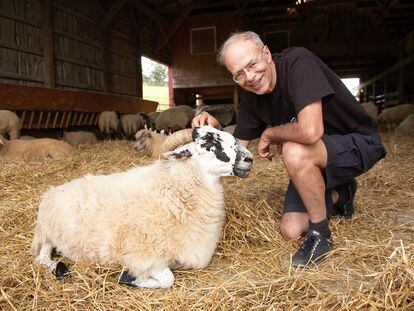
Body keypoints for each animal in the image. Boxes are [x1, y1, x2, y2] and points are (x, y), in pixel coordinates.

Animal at [31, 126, 252, 290]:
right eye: (207, 140)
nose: (249, 158)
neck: (175, 191)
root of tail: (52, 191)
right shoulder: (144, 255)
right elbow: (167, 279)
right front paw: (129, 279)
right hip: (48, 233)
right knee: (42, 256)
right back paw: (58, 267)